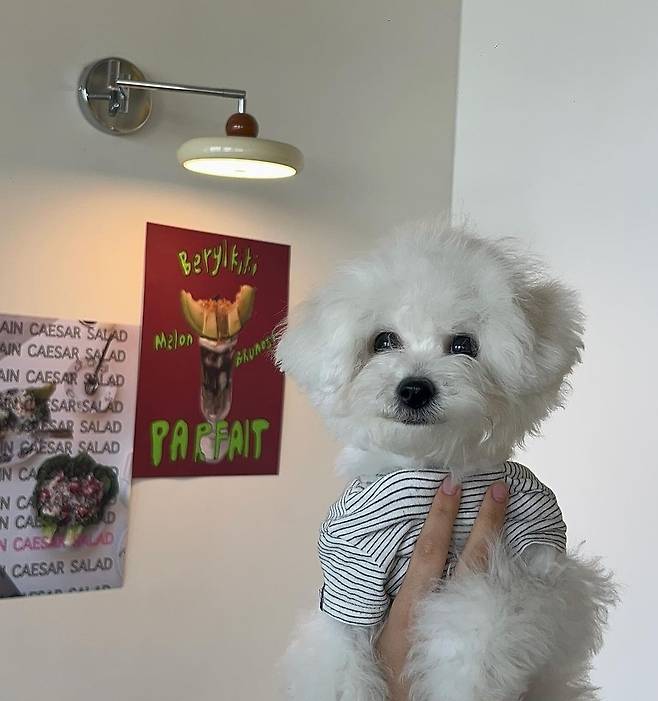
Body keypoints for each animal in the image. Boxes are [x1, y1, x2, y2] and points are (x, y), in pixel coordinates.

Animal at [276, 224, 616, 700]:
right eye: (383, 341)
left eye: (463, 344)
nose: (414, 388)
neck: (431, 469)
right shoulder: (352, 573)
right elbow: (336, 656)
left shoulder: (531, 544)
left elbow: (481, 618)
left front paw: (466, 680)